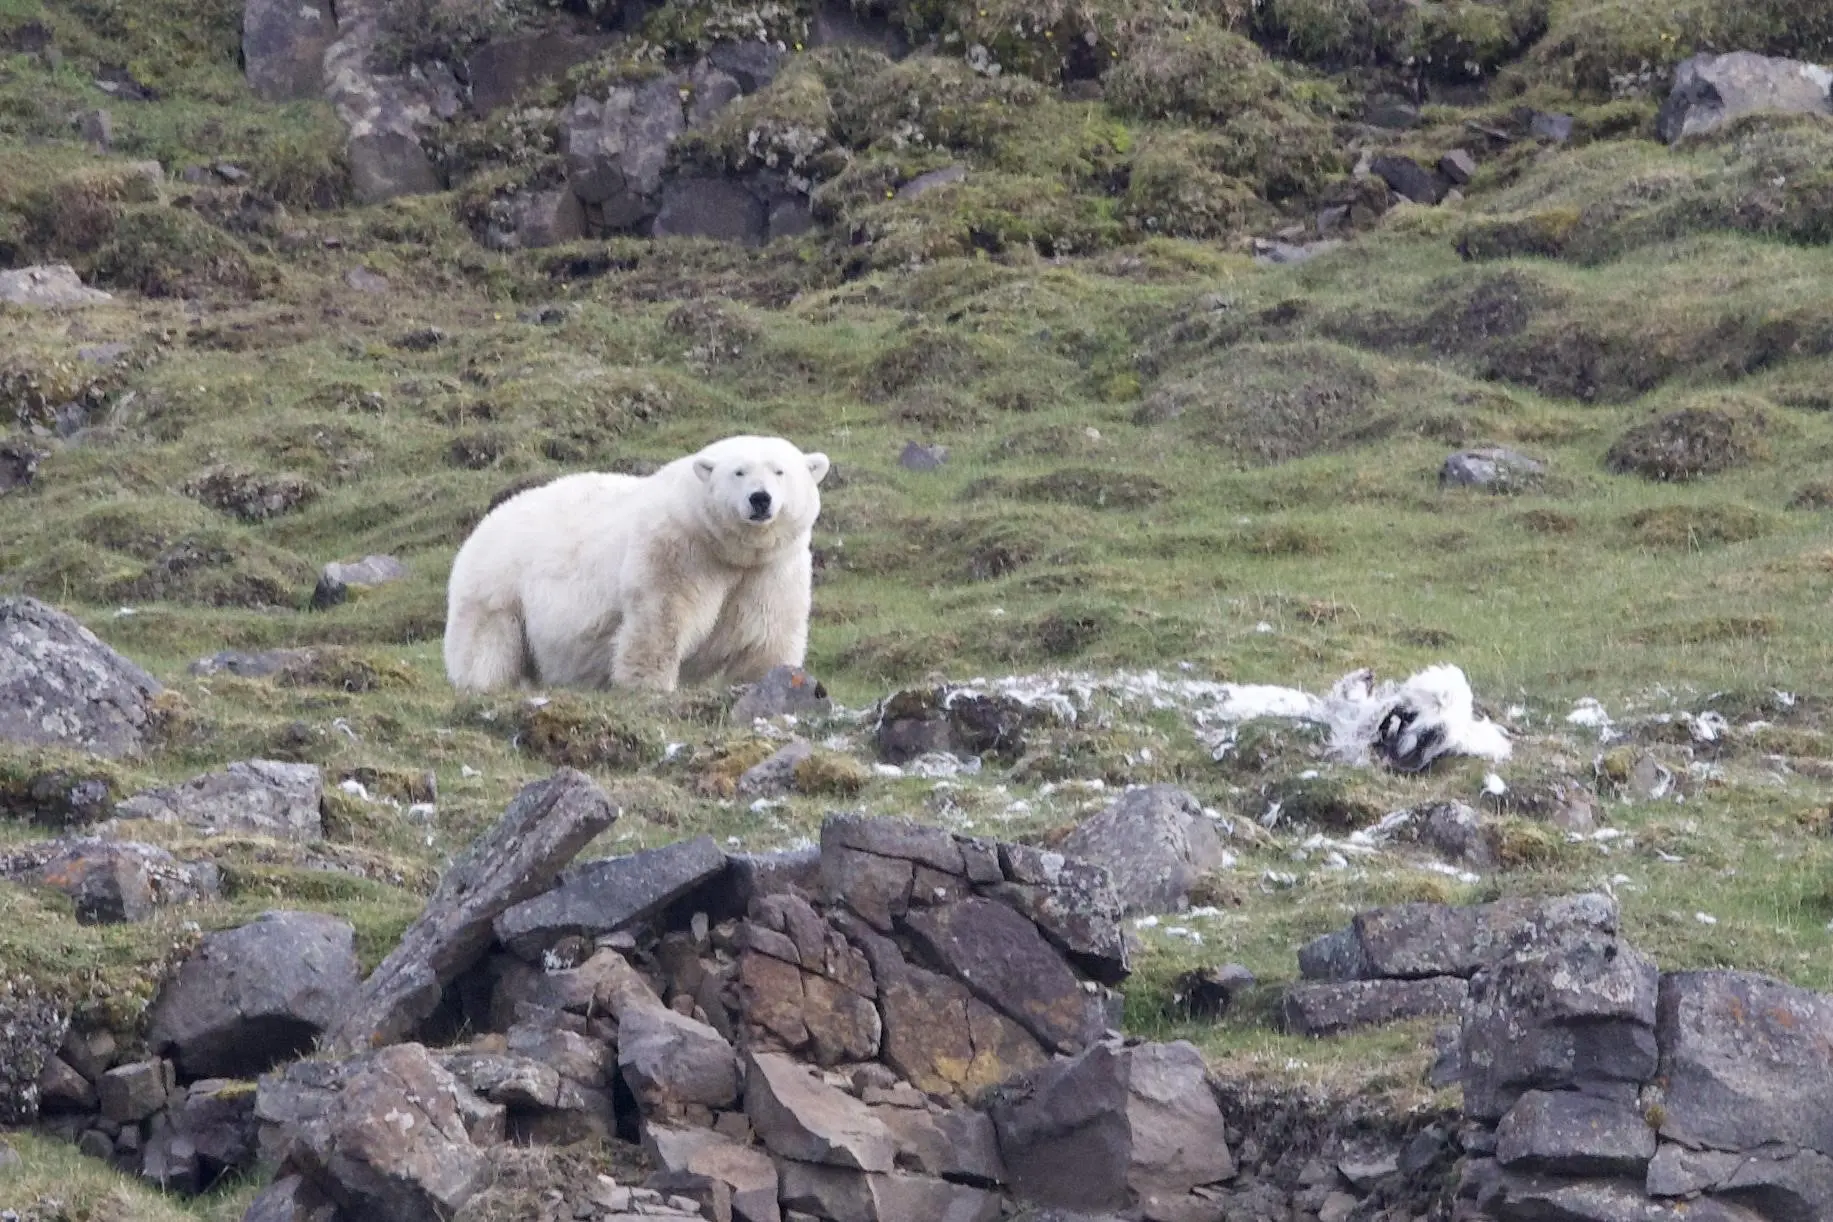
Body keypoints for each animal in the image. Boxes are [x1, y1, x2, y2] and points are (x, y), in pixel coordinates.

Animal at [443, 434, 830, 693]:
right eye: (738, 472)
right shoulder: (676, 551)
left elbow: (767, 632)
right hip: (500, 589)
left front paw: (771, 681)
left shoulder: (770, 569)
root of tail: (482, 526)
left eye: (780, 471)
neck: (726, 549)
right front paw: (650, 687)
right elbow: (661, 619)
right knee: (487, 647)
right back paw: (483, 685)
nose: (760, 499)